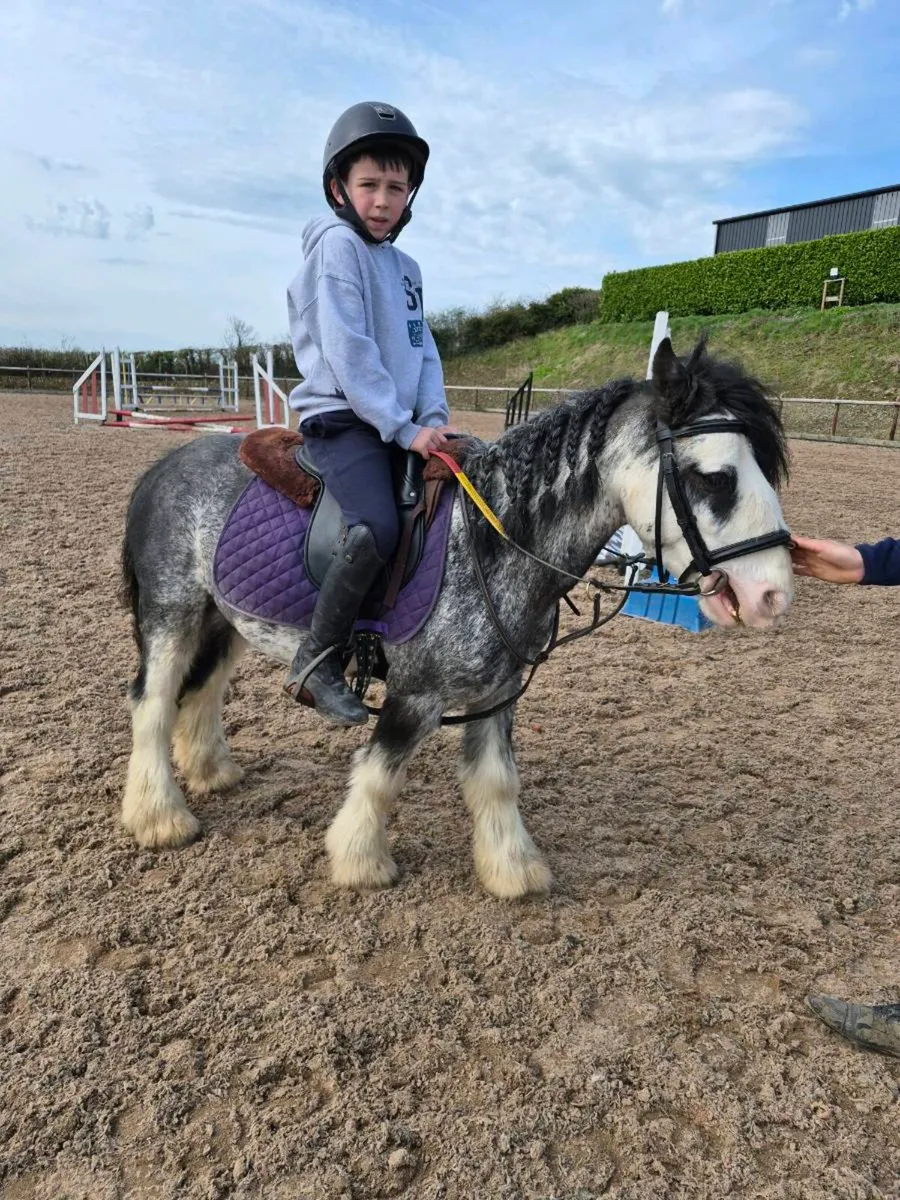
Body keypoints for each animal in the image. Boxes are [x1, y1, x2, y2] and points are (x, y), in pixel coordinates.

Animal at [119, 338, 793, 898]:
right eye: (715, 477)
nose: (773, 594)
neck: (495, 540)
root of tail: (164, 466)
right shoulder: (416, 694)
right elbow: (380, 773)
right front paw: (361, 862)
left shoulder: (498, 692)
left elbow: (496, 780)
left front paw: (513, 871)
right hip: (171, 615)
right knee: (153, 704)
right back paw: (160, 817)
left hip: (224, 620)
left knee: (201, 692)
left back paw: (212, 773)